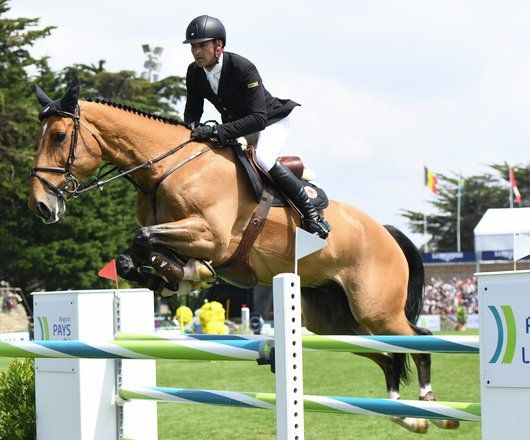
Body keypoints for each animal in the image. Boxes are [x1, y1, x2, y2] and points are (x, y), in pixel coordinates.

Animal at [27, 75, 458, 434]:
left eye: (60, 136)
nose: (41, 206)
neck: (168, 168)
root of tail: (385, 232)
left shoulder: (212, 237)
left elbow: (142, 238)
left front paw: (183, 274)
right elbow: (135, 253)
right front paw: (174, 275)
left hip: (376, 308)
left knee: (419, 339)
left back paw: (433, 409)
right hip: (331, 320)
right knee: (386, 354)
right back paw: (406, 416)